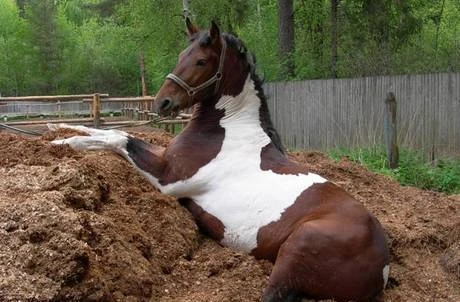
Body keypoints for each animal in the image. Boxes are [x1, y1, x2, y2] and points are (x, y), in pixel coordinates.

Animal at [49, 19, 388, 302]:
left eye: (201, 61)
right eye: (181, 55)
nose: (163, 103)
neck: (227, 128)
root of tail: (382, 268)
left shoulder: (167, 178)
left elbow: (119, 139)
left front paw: (64, 144)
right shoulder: (165, 160)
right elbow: (115, 131)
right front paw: (58, 129)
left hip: (296, 251)